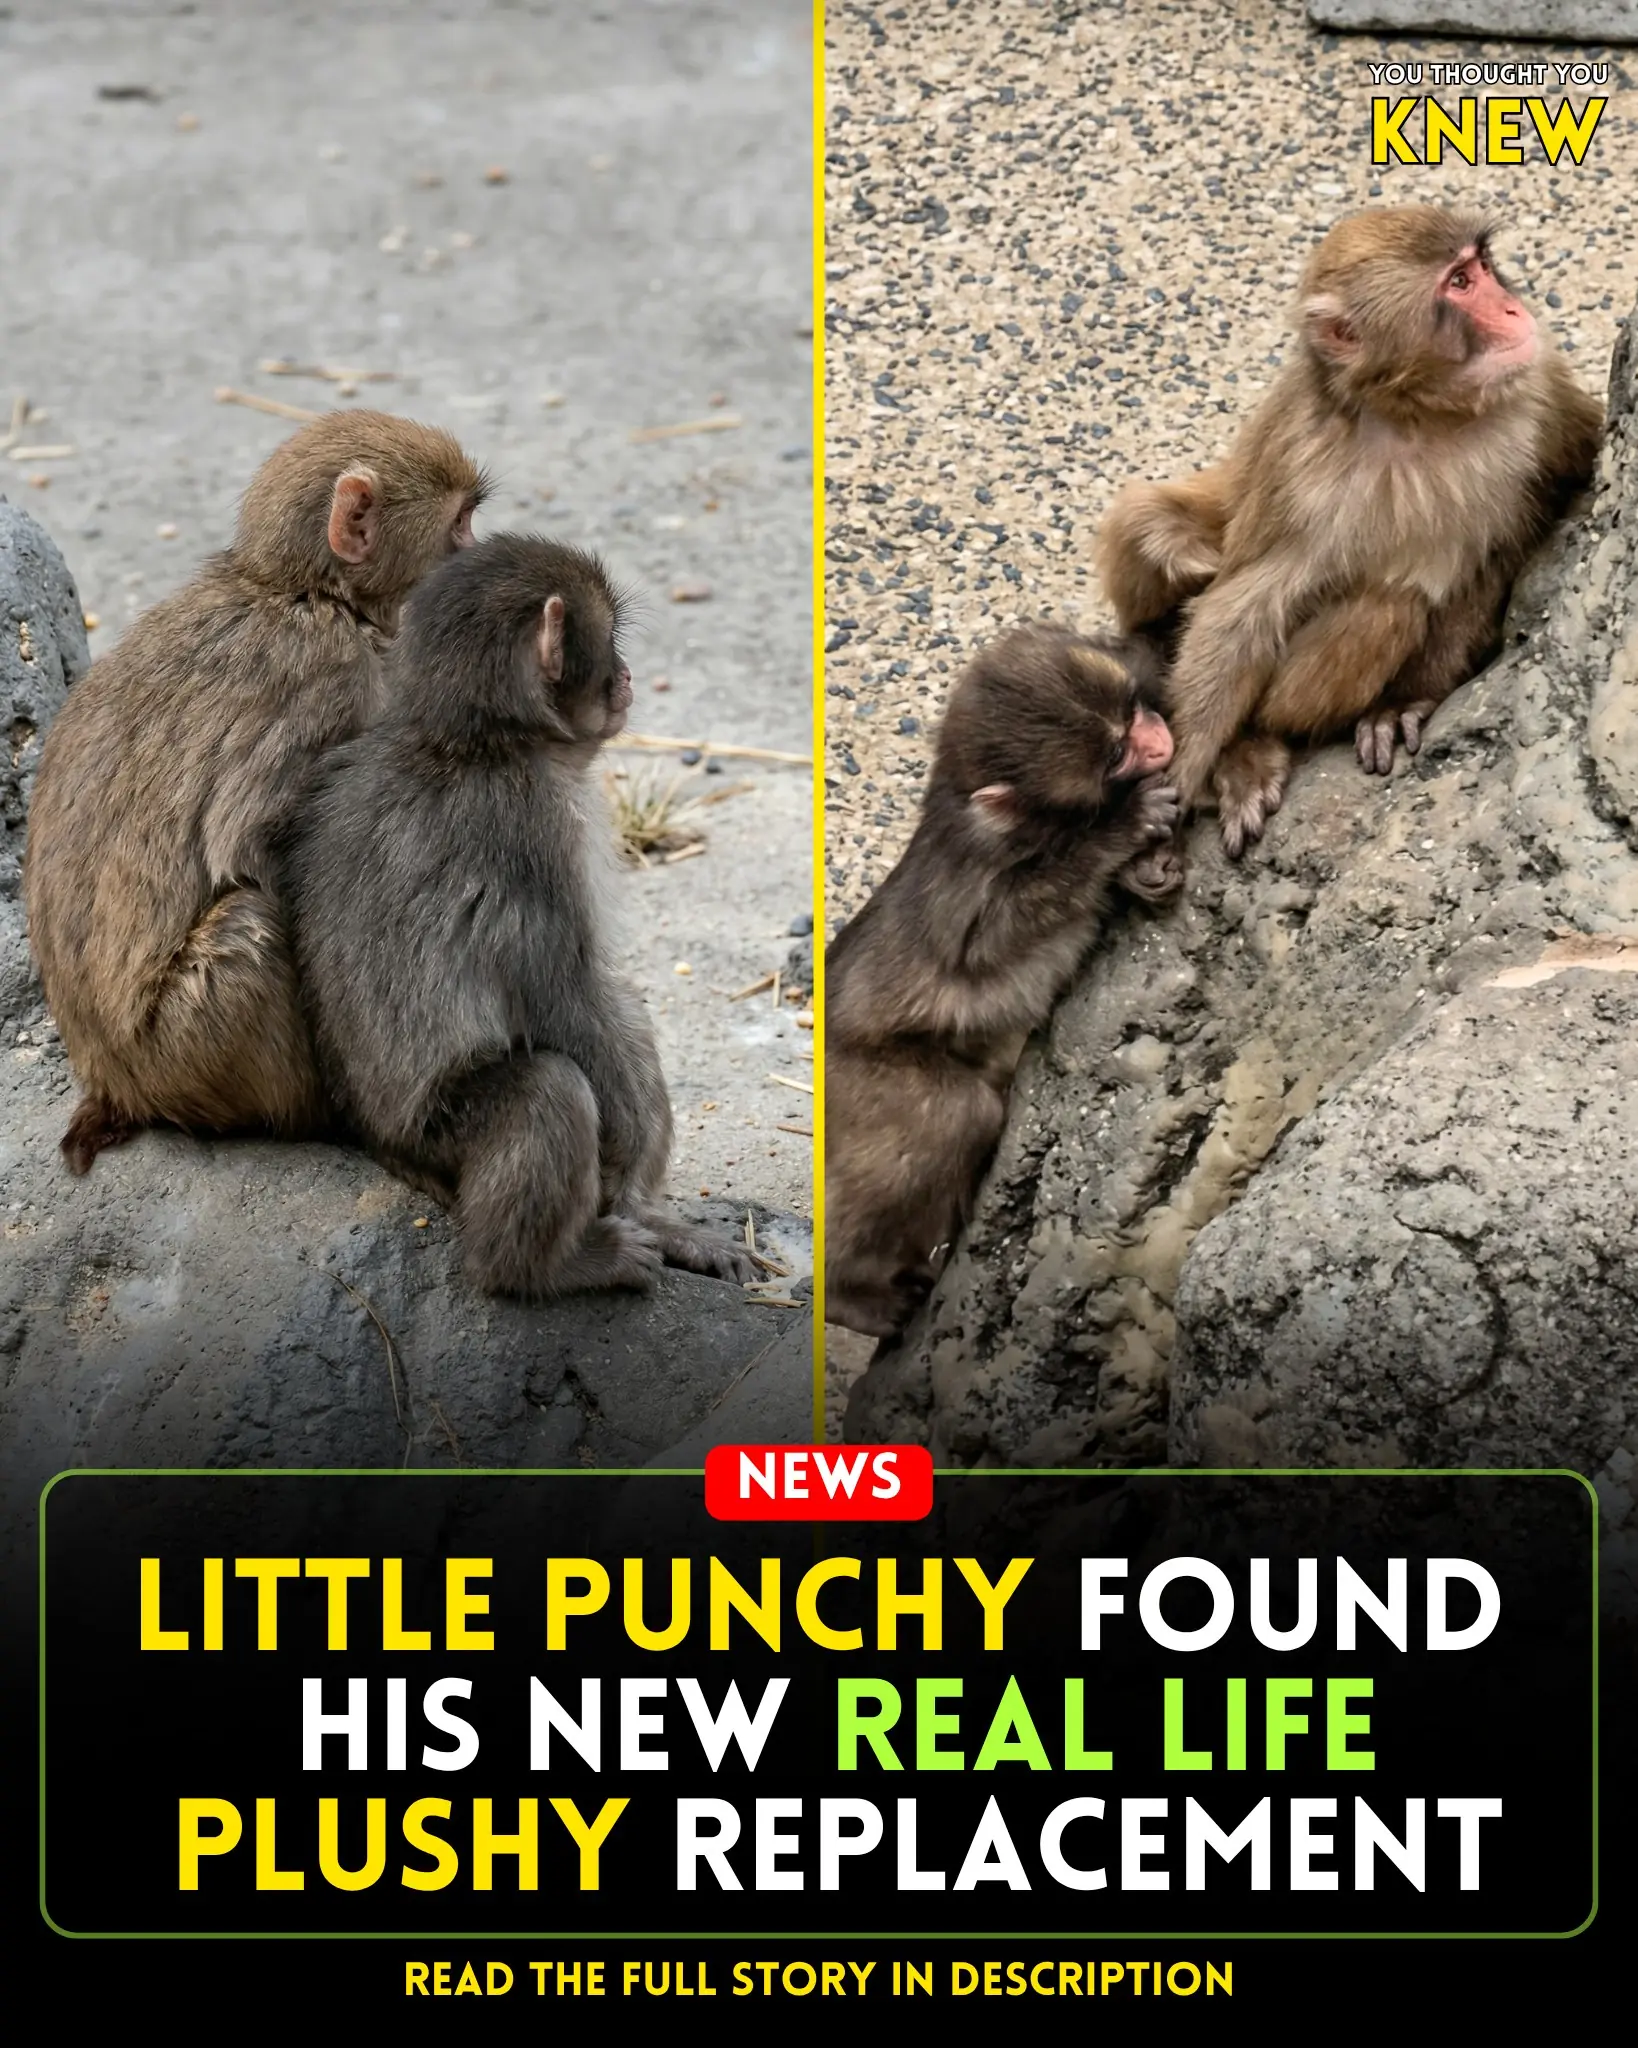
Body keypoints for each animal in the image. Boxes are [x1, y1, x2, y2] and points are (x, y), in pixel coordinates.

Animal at [23, 410, 488, 1174]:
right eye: (460, 526)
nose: (475, 565)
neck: (304, 591)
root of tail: (112, 1081)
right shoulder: (332, 678)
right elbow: (250, 847)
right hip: (187, 1051)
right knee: (251, 927)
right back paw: (332, 1119)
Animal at [275, 533, 759, 1301]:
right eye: (610, 639)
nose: (627, 675)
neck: (473, 743)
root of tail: (381, 1146)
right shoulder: (532, 829)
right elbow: (563, 996)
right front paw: (631, 1182)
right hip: (439, 1139)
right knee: (549, 1088)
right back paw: (544, 1266)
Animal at [823, 623, 1178, 1341]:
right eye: (1116, 756)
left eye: (1131, 709)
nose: (1159, 739)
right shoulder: (974, 868)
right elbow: (987, 941)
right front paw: (1121, 834)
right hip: (858, 1083)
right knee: (954, 1117)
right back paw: (847, 1291)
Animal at [1096, 205, 1604, 862]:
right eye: (1460, 284)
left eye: (1482, 268)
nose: (1515, 309)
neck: (1420, 417)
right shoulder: (1300, 465)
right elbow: (1240, 613)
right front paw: (1182, 778)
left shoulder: (1542, 396)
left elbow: (1494, 558)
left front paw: (1403, 703)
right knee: (1153, 526)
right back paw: (1249, 743)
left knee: (1390, 602)